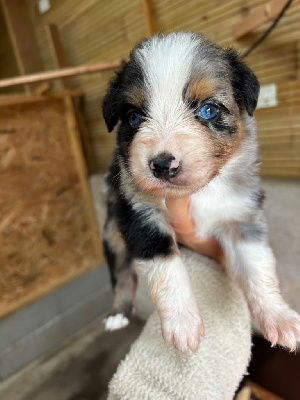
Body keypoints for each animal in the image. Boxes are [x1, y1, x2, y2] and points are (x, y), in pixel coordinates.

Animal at [101, 32, 300, 354]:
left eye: (208, 110)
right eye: (133, 117)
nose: (162, 165)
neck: (201, 191)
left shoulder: (242, 215)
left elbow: (258, 267)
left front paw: (278, 317)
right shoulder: (140, 215)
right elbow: (167, 270)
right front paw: (182, 324)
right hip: (111, 229)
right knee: (121, 273)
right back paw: (117, 313)